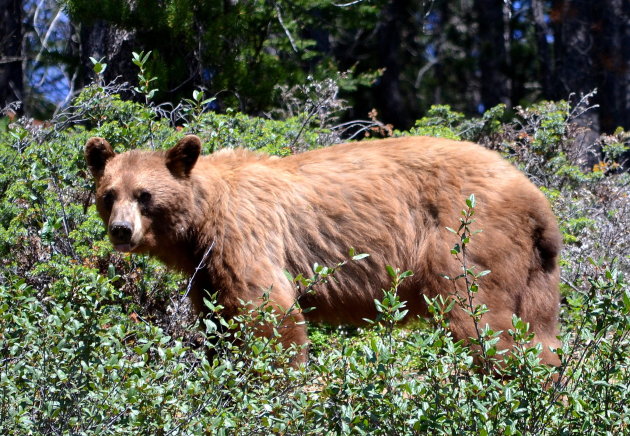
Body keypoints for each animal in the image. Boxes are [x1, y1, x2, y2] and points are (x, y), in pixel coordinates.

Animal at [84, 135, 564, 366]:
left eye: (144, 195)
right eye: (108, 194)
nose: (121, 230)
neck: (202, 220)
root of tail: (535, 198)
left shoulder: (245, 235)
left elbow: (269, 312)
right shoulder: (207, 272)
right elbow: (223, 322)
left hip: (467, 239)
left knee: (479, 318)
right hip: (536, 270)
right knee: (540, 334)